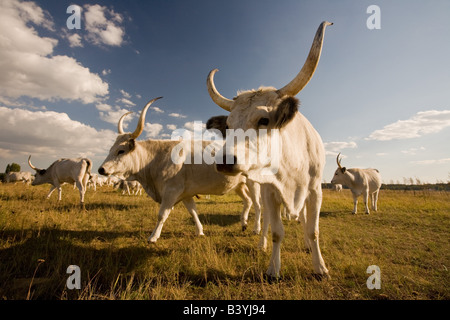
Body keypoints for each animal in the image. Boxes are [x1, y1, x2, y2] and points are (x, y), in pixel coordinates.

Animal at [98, 97, 260, 242]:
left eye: (121, 151)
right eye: (110, 149)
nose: (101, 169)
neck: (156, 159)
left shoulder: (171, 191)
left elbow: (162, 214)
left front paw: (153, 237)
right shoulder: (186, 194)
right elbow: (193, 212)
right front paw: (200, 231)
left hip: (253, 183)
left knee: (257, 204)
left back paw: (256, 229)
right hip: (238, 185)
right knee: (248, 201)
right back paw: (243, 223)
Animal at [206, 21, 332, 278]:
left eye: (264, 120)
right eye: (229, 125)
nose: (225, 160)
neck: (292, 165)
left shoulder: (315, 190)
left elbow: (312, 229)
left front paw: (320, 267)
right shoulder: (271, 192)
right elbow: (276, 231)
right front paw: (273, 269)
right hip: (259, 189)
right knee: (262, 218)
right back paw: (260, 242)